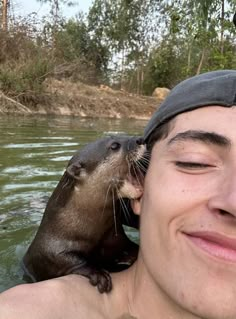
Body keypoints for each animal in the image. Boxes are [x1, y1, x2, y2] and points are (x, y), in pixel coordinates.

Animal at [22, 136, 144, 294]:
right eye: (114, 145)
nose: (140, 139)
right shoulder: (50, 252)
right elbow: (70, 260)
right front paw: (99, 274)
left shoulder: (116, 239)